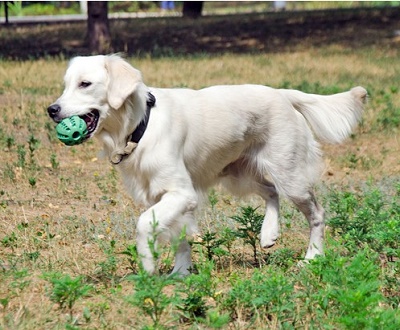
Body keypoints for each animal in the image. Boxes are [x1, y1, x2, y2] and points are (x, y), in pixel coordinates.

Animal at [47, 54, 366, 274]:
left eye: (85, 84)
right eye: (65, 86)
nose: (51, 109)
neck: (141, 126)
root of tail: (282, 93)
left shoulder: (181, 193)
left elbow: (143, 224)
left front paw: (148, 265)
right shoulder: (165, 198)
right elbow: (181, 240)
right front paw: (180, 274)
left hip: (290, 176)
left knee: (316, 213)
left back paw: (312, 257)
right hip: (239, 175)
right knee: (270, 192)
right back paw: (269, 234)